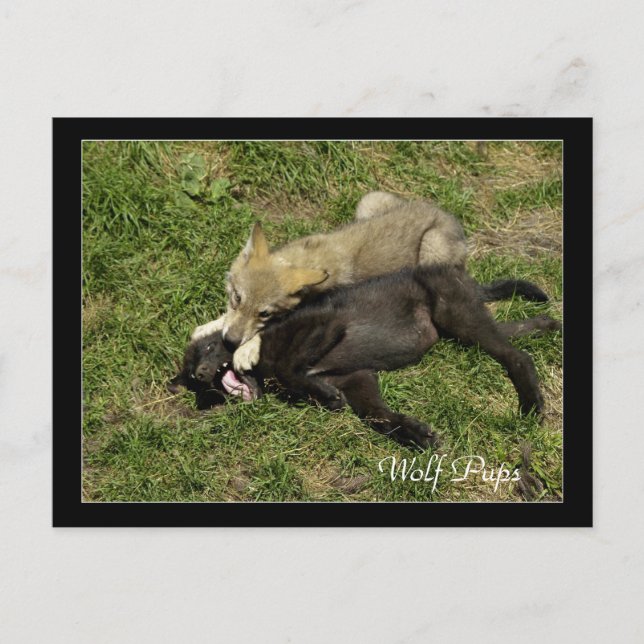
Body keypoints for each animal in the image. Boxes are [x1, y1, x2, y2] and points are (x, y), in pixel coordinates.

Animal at [172, 266, 561, 448]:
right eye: (193, 379)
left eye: (210, 349)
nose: (202, 375)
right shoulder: (358, 378)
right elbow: (379, 417)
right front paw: (417, 434)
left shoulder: (326, 324)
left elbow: (286, 366)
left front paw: (326, 397)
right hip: (466, 324)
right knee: (512, 333)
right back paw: (547, 324)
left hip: (459, 316)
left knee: (517, 356)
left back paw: (531, 404)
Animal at [191, 192, 468, 372]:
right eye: (236, 298)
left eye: (265, 314)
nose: (230, 342)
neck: (305, 259)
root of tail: (449, 216)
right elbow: (226, 319)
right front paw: (208, 327)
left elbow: (271, 329)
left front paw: (246, 351)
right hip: (369, 203)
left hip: (431, 250)